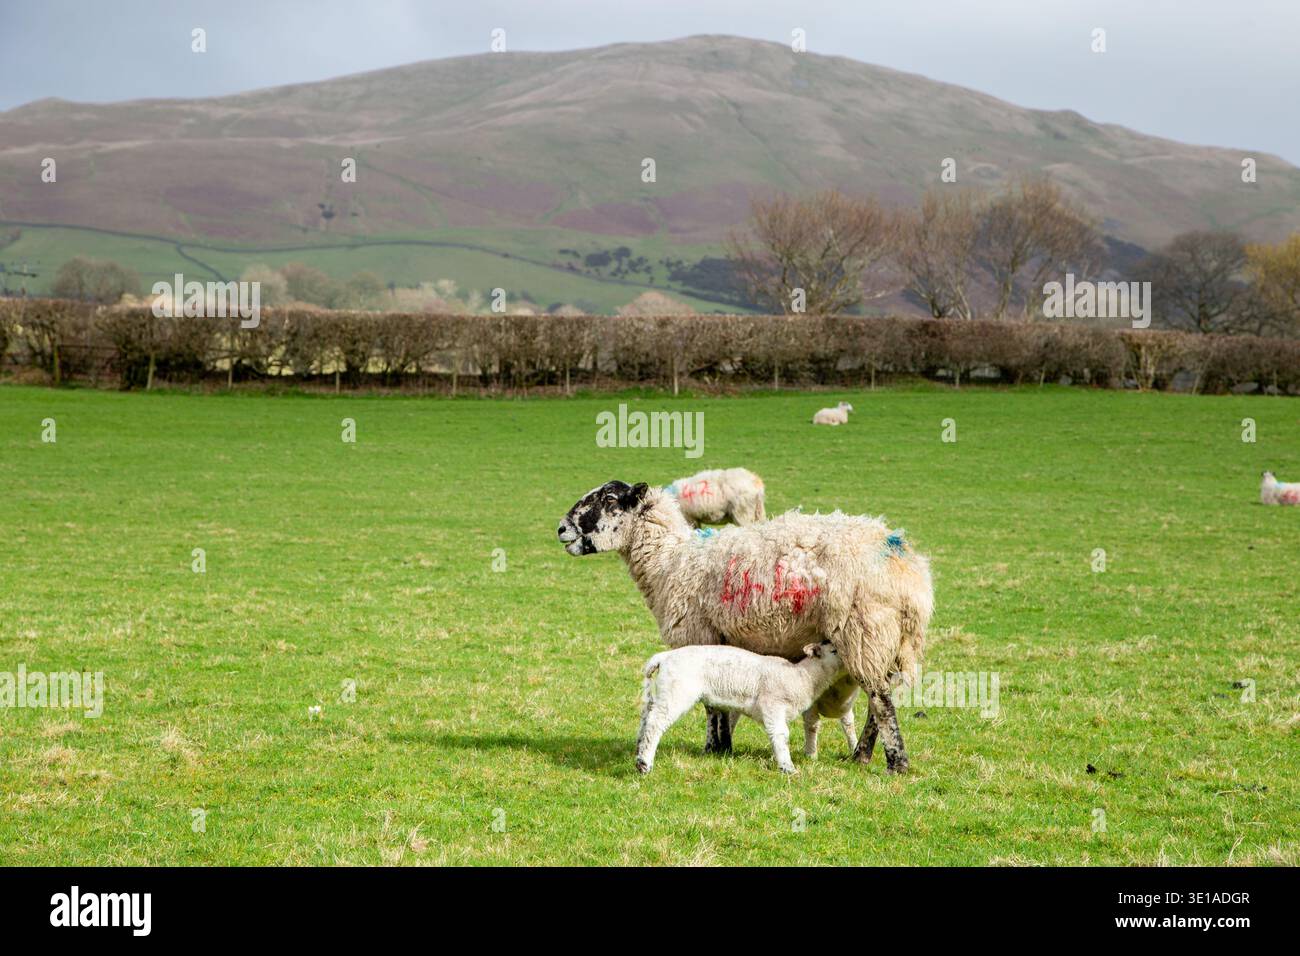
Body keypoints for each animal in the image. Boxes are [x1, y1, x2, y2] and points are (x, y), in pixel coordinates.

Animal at [636, 641, 845, 774]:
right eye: (834, 651)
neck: (803, 677)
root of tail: (664, 657)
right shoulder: (773, 705)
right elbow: (780, 734)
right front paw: (787, 767)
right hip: (676, 691)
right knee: (655, 723)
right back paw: (644, 764)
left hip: (663, 692)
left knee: (646, 718)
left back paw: (639, 752)